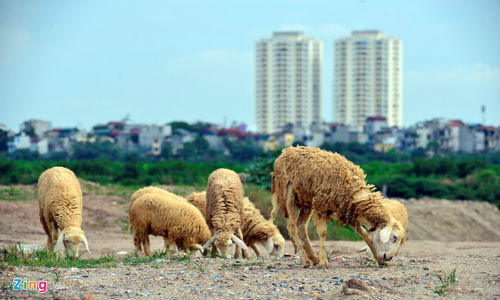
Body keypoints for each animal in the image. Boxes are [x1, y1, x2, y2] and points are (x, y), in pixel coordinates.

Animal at [272, 146, 408, 266]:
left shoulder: (348, 211)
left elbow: (364, 233)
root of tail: (285, 151)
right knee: (292, 228)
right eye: (394, 237)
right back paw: (305, 260)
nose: (389, 257)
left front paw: (379, 259)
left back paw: (313, 258)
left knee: (301, 227)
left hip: (307, 201)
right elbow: (323, 232)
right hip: (287, 191)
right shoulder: (322, 204)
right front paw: (324, 262)